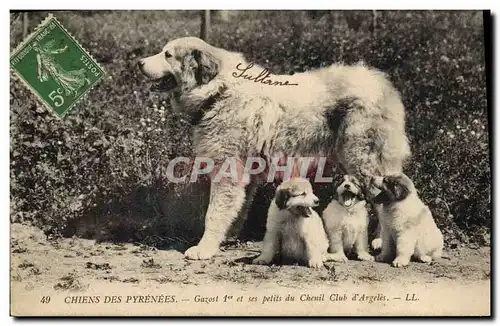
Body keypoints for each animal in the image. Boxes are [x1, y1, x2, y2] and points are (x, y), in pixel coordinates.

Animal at [140, 36, 410, 260]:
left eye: (167, 54)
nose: (139, 62)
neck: (218, 92)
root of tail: (383, 83)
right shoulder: (246, 173)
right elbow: (237, 208)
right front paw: (226, 238)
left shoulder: (227, 171)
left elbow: (214, 213)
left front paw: (204, 248)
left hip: (364, 160)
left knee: (381, 197)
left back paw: (379, 240)